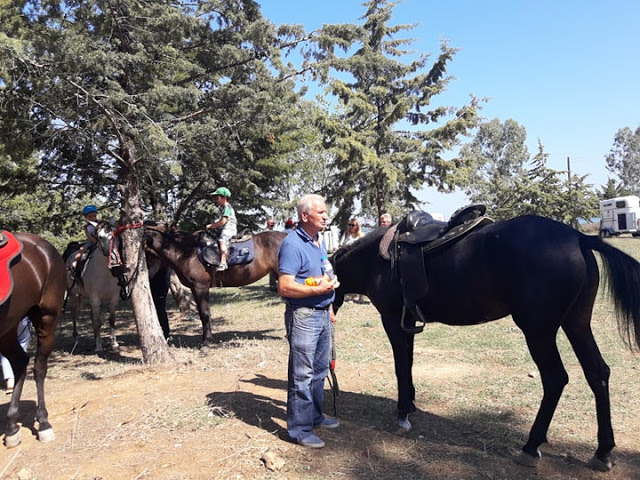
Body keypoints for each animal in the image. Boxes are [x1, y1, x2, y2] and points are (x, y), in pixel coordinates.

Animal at [0, 234, 66, 448]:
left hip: (46, 319)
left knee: (39, 368)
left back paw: (43, 422)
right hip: (9, 328)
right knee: (20, 361)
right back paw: (12, 426)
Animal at [145, 225, 288, 344]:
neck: (186, 252)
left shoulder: (201, 287)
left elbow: (205, 313)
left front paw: (207, 340)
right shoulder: (194, 288)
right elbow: (202, 314)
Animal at [332, 215, 636, 472]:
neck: (375, 259)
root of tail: (577, 237)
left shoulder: (392, 320)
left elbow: (400, 366)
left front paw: (403, 412)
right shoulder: (408, 323)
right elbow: (408, 363)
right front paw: (413, 403)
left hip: (538, 331)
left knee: (555, 379)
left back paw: (531, 446)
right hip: (577, 324)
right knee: (598, 373)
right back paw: (602, 452)